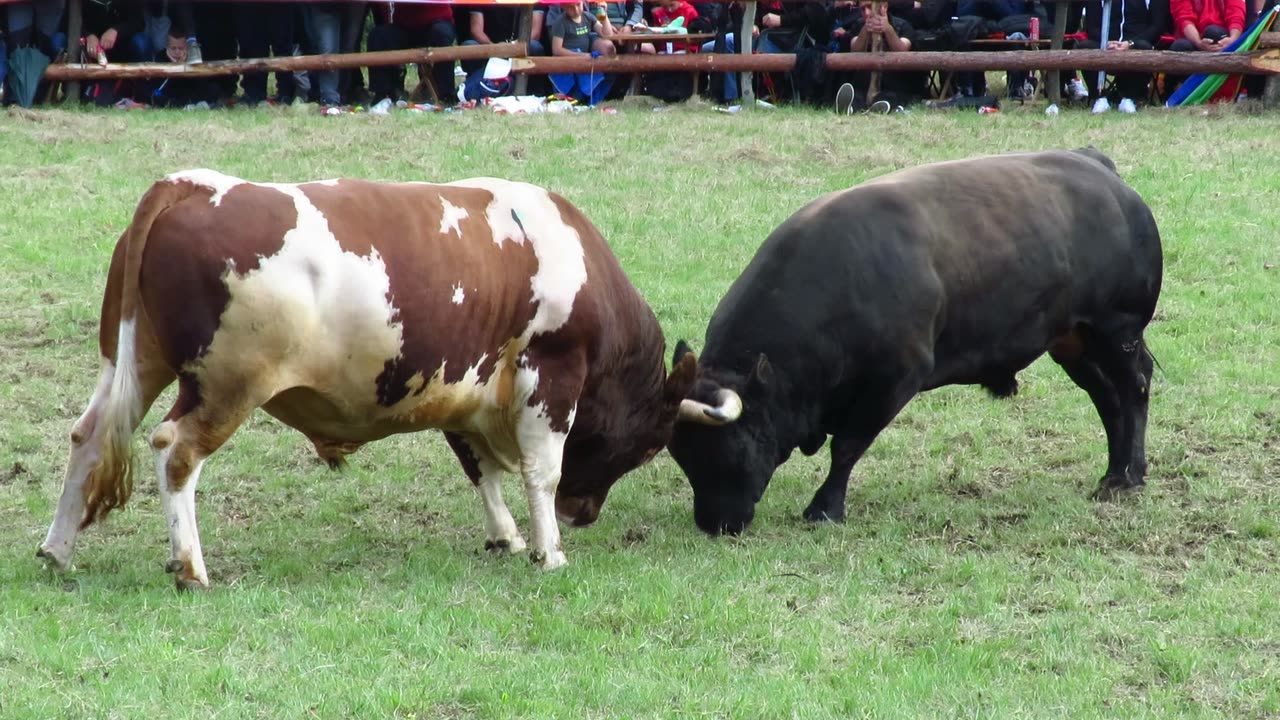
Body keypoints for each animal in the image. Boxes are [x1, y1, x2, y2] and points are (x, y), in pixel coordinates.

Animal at [40, 170, 696, 586]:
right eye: (650, 447)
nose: (582, 515)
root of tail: (196, 185)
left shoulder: (464, 386)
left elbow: (478, 467)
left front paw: (505, 537)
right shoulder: (551, 372)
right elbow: (542, 470)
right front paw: (549, 551)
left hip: (133, 363)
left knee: (88, 435)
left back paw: (58, 551)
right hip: (225, 387)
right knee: (174, 450)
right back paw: (189, 567)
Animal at [675, 147, 1167, 532]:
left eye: (730, 445)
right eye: (683, 455)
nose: (715, 524)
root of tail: (1097, 166)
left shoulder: (895, 379)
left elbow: (846, 447)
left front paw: (825, 508)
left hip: (1117, 331)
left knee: (1134, 388)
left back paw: (1131, 474)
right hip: (1074, 341)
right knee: (1107, 399)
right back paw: (1113, 474)